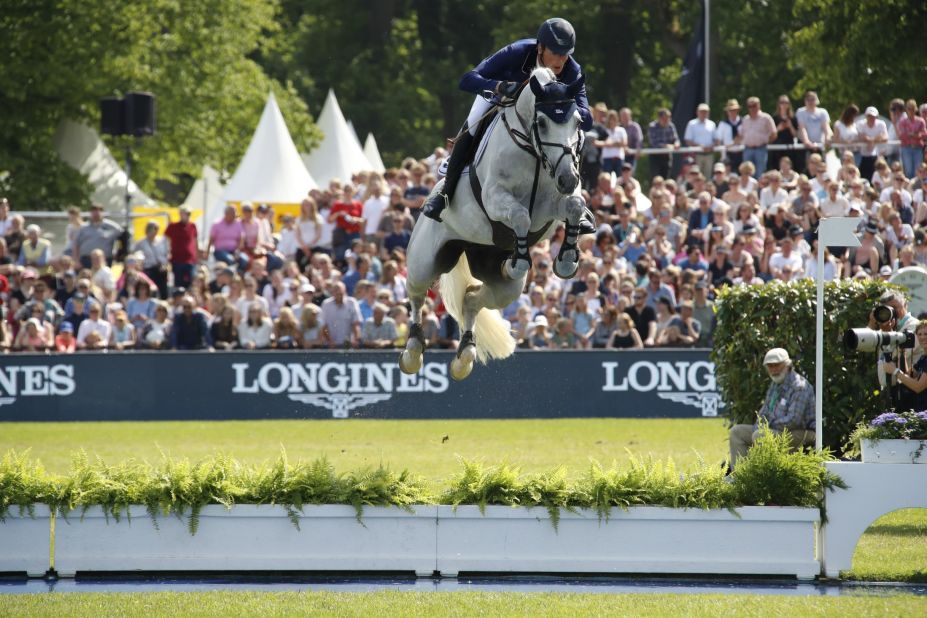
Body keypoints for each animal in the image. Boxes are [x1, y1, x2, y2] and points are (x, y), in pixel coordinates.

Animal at [400, 66, 588, 376]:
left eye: (577, 122)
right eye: (542, 123)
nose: (568, 178)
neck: (533, 151)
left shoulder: (551, 206)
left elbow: (574, 206)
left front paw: (567, 260)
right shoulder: (495, 197)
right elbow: (520, 215)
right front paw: (521, 260)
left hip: (502, 284)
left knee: (472, 299)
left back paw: (465, 355)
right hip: (425, 260)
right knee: (416, 293)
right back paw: (413, 352)